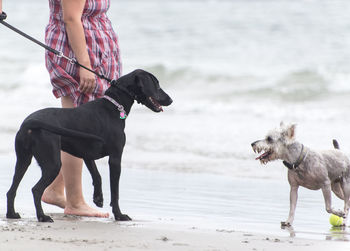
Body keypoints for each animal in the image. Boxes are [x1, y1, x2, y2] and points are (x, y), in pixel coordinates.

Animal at [6, 68, 173, 222]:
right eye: (157, 84)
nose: (170, 100)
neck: (114, 106)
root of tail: (29, 123)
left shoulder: (86, 154)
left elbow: (97, 175)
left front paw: (98, 198)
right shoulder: (115, 158)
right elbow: (115, 192)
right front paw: (119, 215)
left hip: (23, 160)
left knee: (11, 190)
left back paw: (11, 214)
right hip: (52, 164)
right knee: (36, 190)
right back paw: (42, 216)